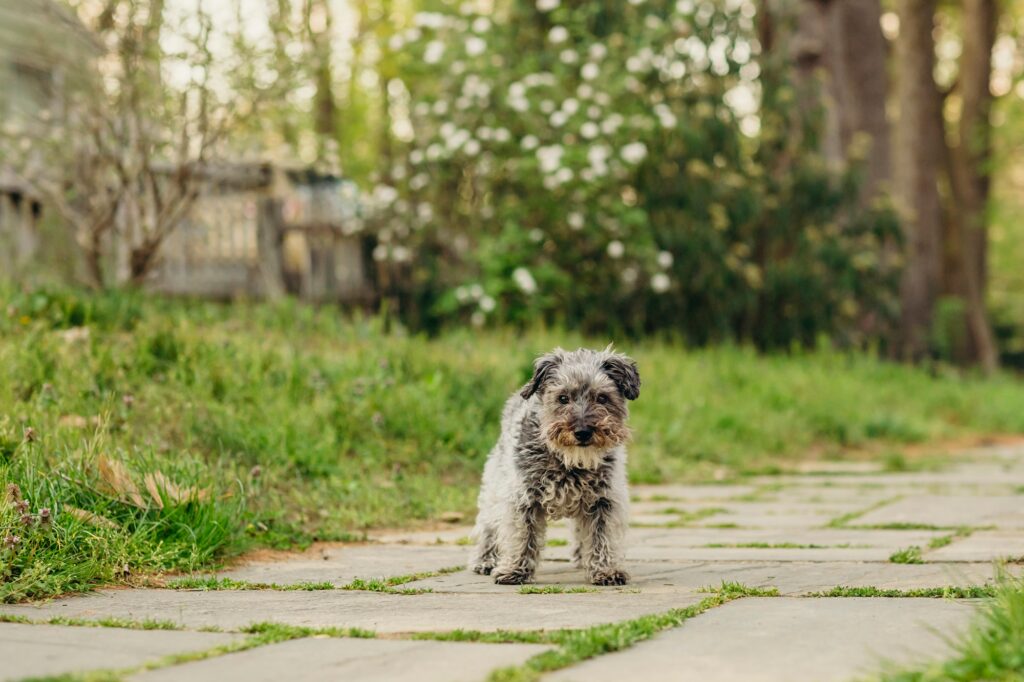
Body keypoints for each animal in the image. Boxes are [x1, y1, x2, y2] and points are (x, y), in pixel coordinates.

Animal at [471, 346, 638, 585]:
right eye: (563, 398)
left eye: (602, 397)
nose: (582, 432)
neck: (569, 461)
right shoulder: (522, 498)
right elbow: (521, 534)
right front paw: (515, 570)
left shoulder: (604, 500)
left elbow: (602, 536)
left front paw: (605, 570)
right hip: (495, 484)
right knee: (489, 524)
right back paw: (486, 560)